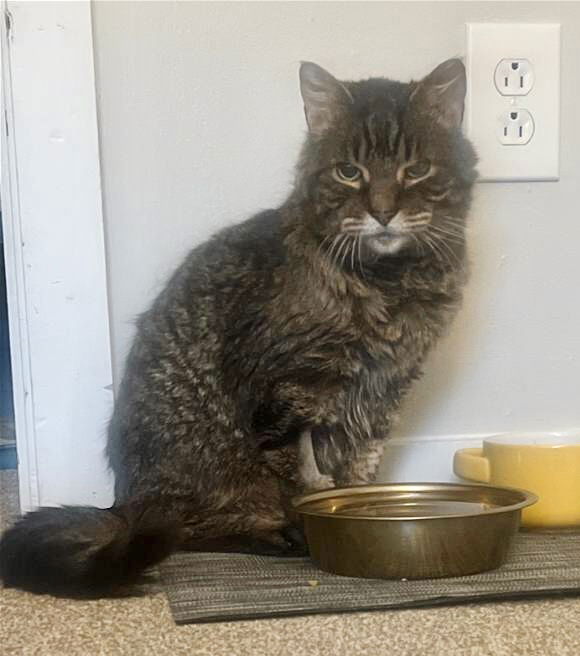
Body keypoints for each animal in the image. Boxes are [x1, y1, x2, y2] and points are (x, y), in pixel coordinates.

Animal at [0, 59, 478, 596]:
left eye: (415, 170)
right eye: (348, 172)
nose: (382, 212)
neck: (393, 285)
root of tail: (121, 503)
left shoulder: (384, 392)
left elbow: (358, 474)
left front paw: (362, 517)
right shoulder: (289, 393)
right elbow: (302, 481)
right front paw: (316, 529)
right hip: (203, 477)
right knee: (183, 530)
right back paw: (269, 536)